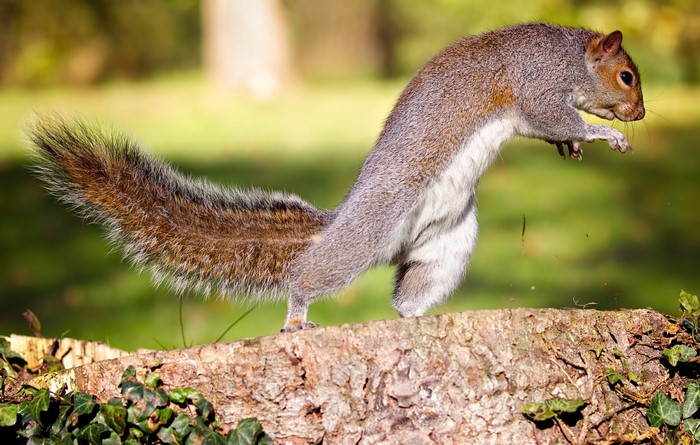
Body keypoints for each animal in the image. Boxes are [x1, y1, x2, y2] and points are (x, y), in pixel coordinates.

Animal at [28, 23, 644, 332]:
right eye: (626, 76)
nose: (639, 113)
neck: (568, 55)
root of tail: (341, 217)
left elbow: (555, 128)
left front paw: (575, 144)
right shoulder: (535, 84)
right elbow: (555, 115)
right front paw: (602, 136)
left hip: (446, 245)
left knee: (407, 297)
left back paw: (421, 321)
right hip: (366, 234)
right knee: (310, 274)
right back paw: (298, 315)